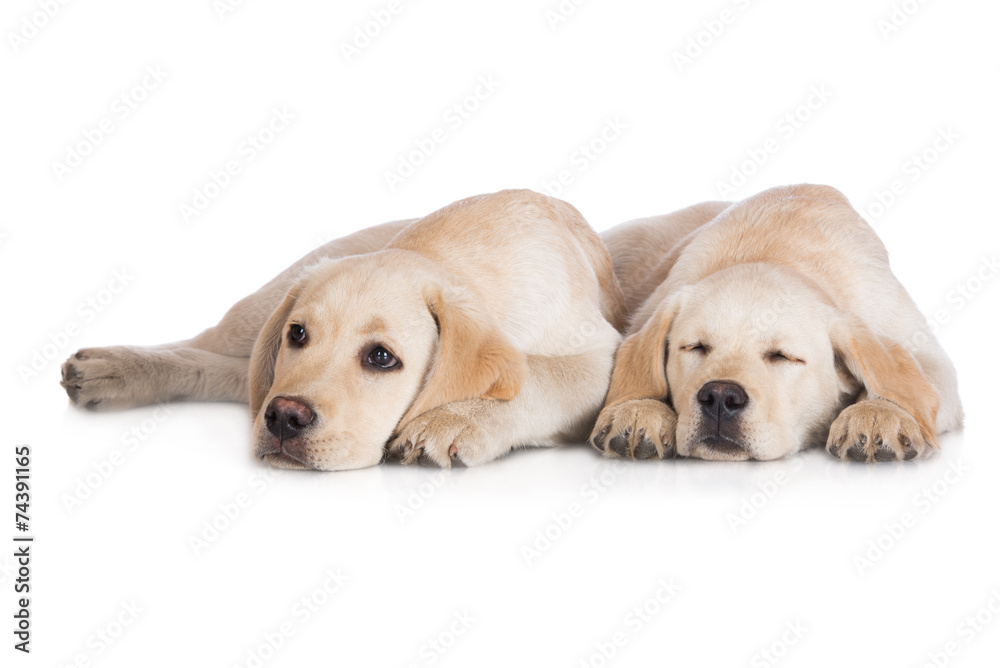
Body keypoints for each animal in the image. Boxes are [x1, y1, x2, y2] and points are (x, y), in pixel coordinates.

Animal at [58, 188, 624, 470]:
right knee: (208, 349)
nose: (283, 418)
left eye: (381, 357)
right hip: (265, 305)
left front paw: (453, 420)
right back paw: (113, 367)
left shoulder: (599, 355)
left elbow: (539, 378)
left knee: (236, 375)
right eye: (298, 335)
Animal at [592, 184, 960, 464]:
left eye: (783, 356)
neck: (776, 252)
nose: (720, 397)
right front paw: (639, 409)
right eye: (695, 347)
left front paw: (878, 414)